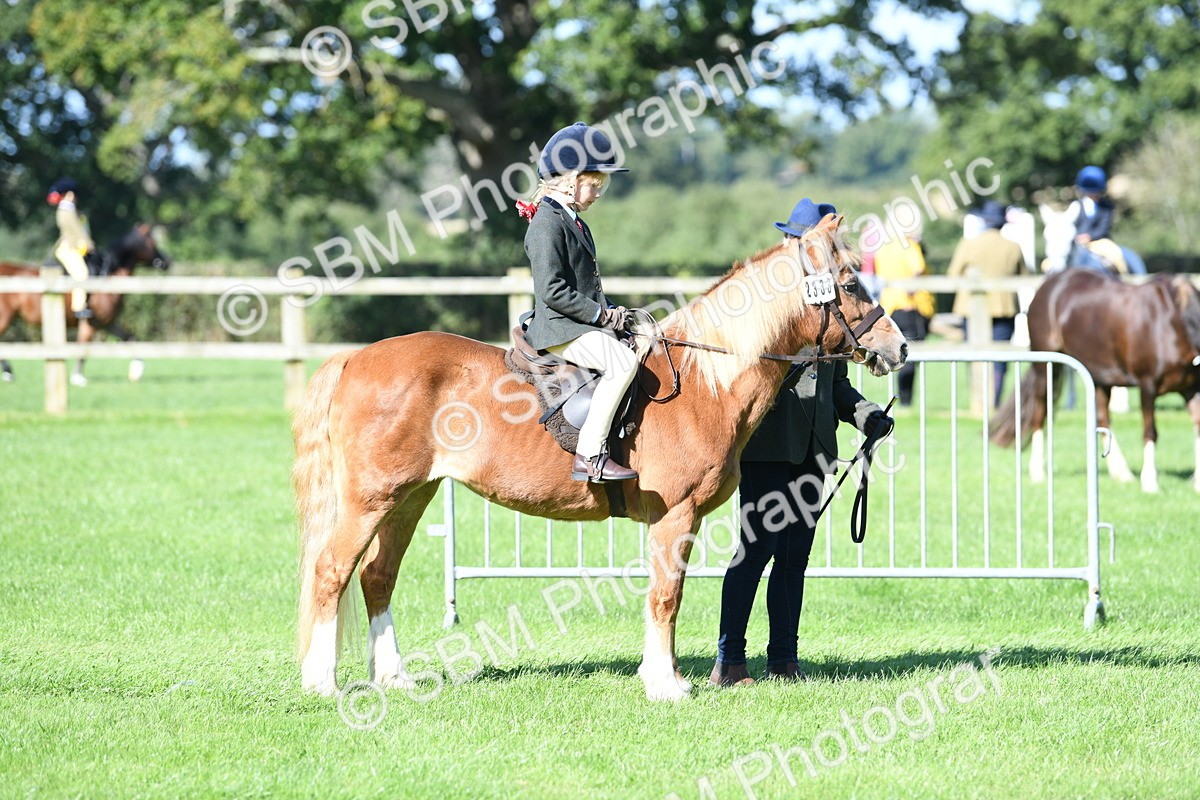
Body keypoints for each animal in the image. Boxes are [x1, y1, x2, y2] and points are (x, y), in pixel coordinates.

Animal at [0, 224, 171, 385]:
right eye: (152, 242)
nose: (166, 262)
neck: (108, 277)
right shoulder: (90, 324)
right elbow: (82, 349)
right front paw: (77, 377)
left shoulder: (106, 323)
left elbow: (130, 338)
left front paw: (137, 370)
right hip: (5, 317)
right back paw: (8, 372)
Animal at [291, 215, 908, 701]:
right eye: (850, 282)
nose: (898, 347)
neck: (707, 380)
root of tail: (353, 359)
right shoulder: (675, 516)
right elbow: (667, 596)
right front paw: (665, 685)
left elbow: (667, 596)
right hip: (371, 500)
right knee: (332, 572)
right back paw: (322, 682)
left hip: (410, 498)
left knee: (377, 577)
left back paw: (393, 678)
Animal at [991, 269, 1200, 493]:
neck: (1173, 324)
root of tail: (1050, 283)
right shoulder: (1148, 387)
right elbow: (1150, 432)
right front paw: (1150, 482)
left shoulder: (1191, 389)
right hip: (1045, 369)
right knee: (1039, 414)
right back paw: (1038, 472)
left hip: (1099, 377)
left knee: (1102, 418)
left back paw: (1121, 472)